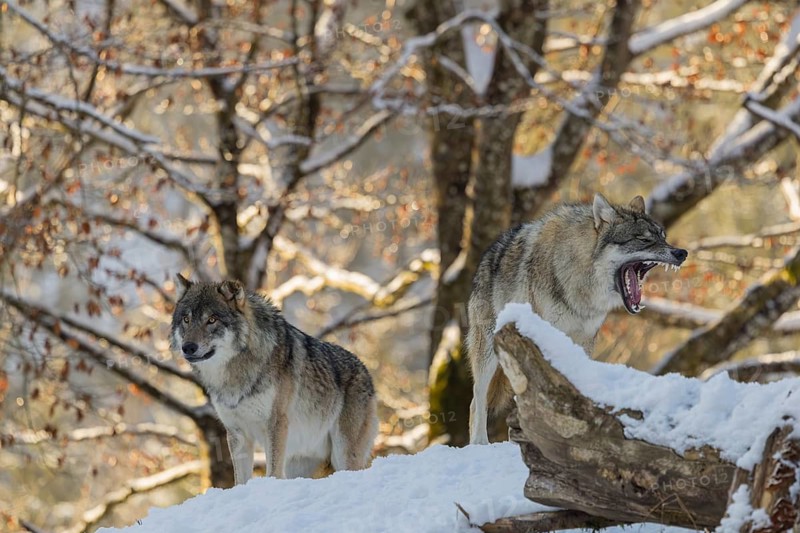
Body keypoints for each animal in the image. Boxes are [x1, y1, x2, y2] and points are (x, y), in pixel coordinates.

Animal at [171, 276, 378, 484]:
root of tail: (367, 374)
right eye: (186, 320)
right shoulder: (237, 432)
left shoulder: (276, 424)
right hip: (300, 464)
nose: (188, 347)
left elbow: (273, 472)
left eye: (211, 320)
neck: (235, 374)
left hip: (343, 454)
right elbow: (240, 480)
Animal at [468, 193, 688, 445]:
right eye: (643, 239)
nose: (681, 253)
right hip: (487, 353)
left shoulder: (584, 341)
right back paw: (480, 444)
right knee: (477, 400)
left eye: (663, 237)